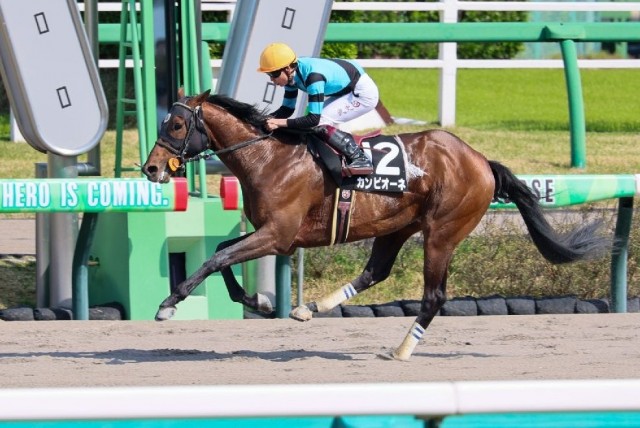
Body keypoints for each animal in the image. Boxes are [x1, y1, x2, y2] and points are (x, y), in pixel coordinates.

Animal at [141, 90, 608, 362]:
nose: (150, 169)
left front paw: (169, 303)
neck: (268, 157)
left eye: (177, 124)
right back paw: (310, 308)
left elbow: (216, 258)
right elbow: (221, 253)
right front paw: (256, 300)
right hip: (396, 225)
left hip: (442, 233)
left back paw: (401, 350)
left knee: (433, 295)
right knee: (376, 271)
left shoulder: (279, 235)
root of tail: (480, 160)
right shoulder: (274, 235)